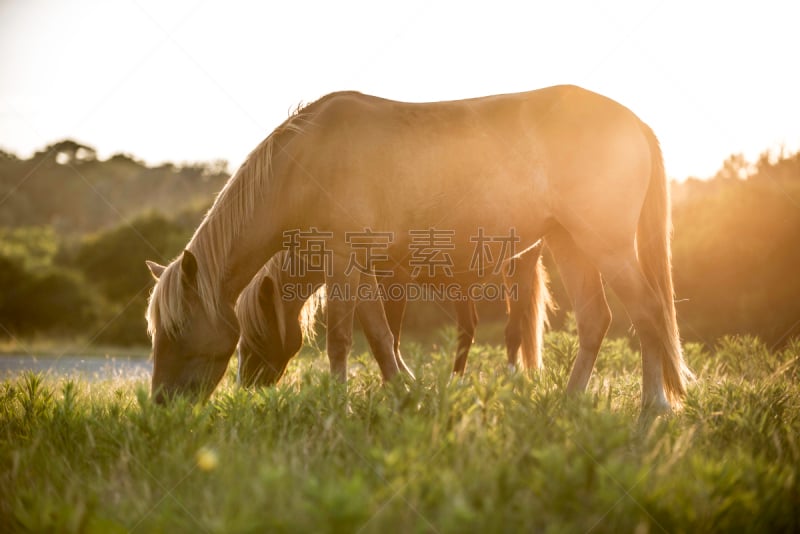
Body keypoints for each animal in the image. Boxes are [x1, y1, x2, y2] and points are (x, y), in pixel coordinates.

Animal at [234, 244, 552, 390]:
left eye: (256, 339)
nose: (245, 387)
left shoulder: (394, 277)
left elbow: (392, 338)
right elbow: (382, 335)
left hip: (519, 263)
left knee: (512, 331)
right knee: (468, 329)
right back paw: (454, 385)